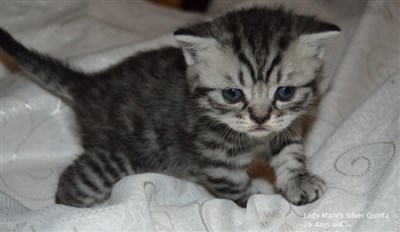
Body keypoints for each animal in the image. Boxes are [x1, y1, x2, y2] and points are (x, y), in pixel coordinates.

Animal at [0, 6, 340, 208]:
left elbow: (290, 152)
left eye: (285, 92)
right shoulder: (213, 160)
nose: (259, 117)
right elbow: (234, 188)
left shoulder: (284, 127)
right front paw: (255, 204)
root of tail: (89, 84)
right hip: (116, 157)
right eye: (232, 95)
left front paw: (298, 183)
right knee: (74, 184)